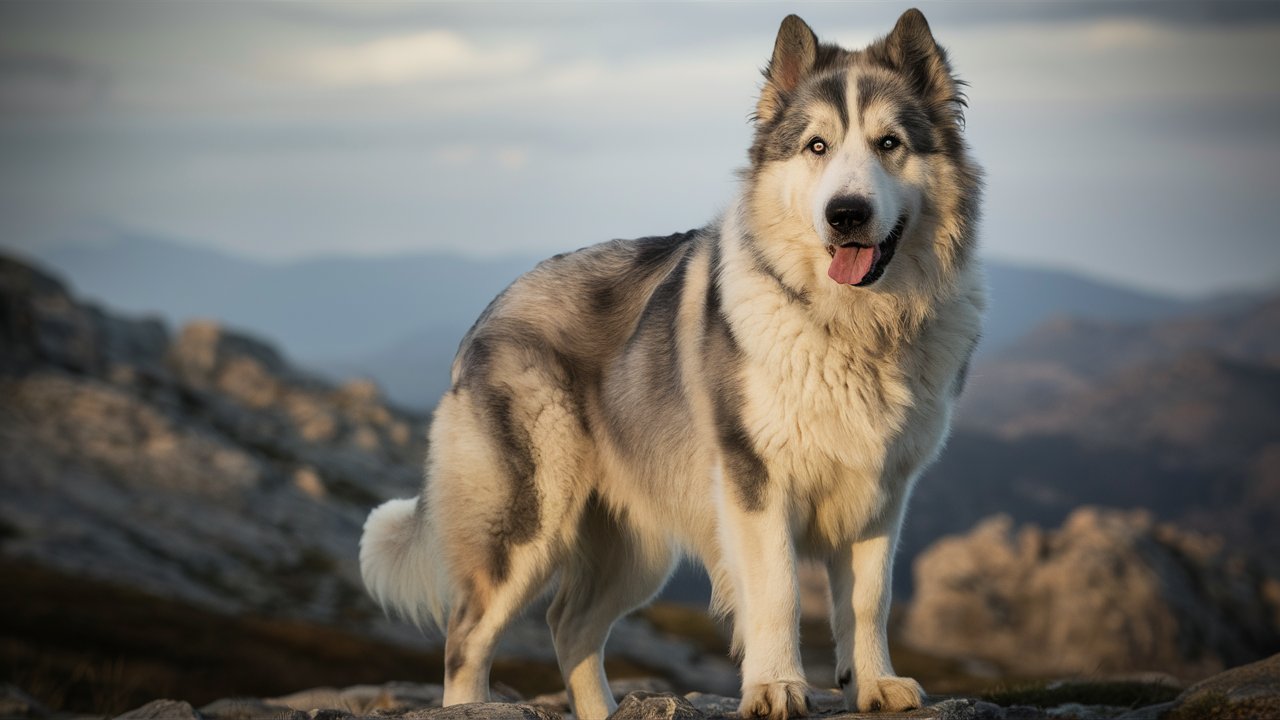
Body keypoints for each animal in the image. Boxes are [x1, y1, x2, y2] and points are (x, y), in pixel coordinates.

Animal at [360, 8, 977, 712]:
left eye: (889, 143)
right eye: (816, 147)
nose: (846, 214)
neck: (851, 328)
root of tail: (492, 307)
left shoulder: (882, 494)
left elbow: (870, 600)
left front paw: (874, 684)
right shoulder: (755, 484)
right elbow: (779, 595)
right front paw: (777, 686)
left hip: (633, 549)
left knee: (569, 625)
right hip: (524, 523)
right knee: (467, 636)